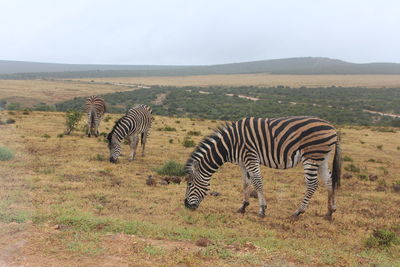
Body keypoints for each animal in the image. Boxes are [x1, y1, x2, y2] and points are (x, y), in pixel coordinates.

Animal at [184, 116, 340, 221]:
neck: (229, 145)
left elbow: (257, 182)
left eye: (189, 183)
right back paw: (330, 212)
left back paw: (298, 212)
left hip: (312, 156)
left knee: (312, 184)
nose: (185, 205)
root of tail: (332, 127)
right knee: (329, 180)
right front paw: (243, 207)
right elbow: (246, 183)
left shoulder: (250, 157)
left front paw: (262, 210)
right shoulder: (243, 162)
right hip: (322, 158)